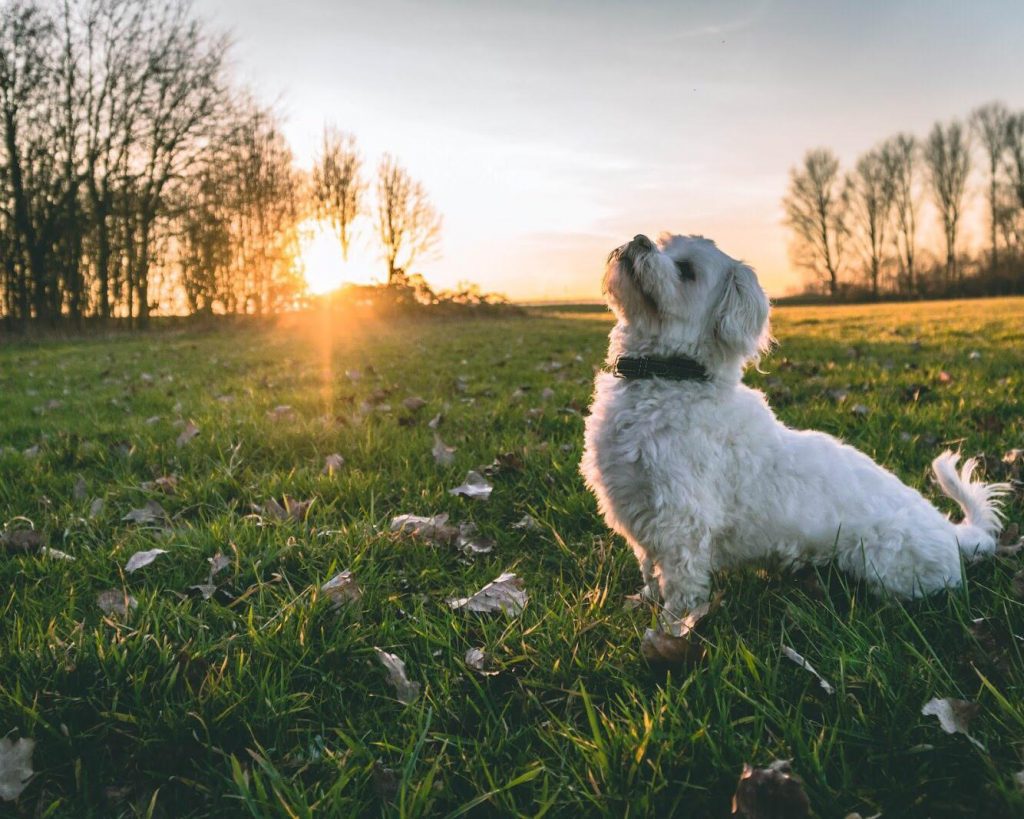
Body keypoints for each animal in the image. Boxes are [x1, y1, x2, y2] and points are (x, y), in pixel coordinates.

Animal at [581, 230, 1011, 614]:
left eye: (686, 270)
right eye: (662, 243)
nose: (640, 239)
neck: (669, 375)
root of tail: (952, 532)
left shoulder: (681, 520)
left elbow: (680, 585)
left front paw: (672, 628)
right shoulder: (638, 509)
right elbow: (649, 568)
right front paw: (644, 602)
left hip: (890, 564)